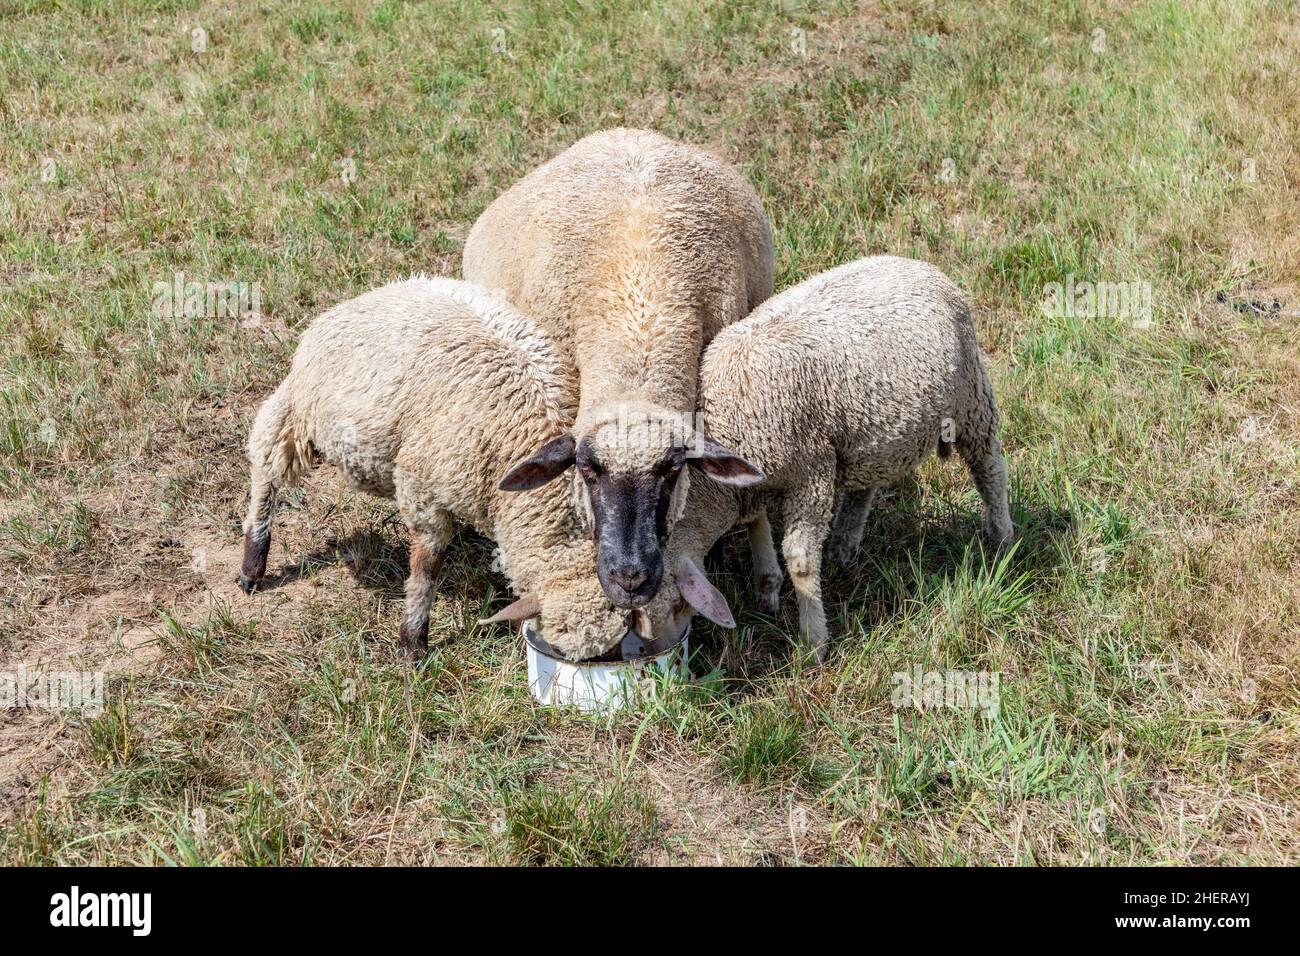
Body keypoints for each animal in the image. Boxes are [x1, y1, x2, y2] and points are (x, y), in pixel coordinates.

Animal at [243, 278, 634, 665]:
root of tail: (371, 294)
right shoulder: (422, 491)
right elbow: (426, 569)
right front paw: (412, 644)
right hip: (295, 408)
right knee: (265, 466)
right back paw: (252, 564)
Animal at [639, 254, 1013, 660]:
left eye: (673, 604)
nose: (654, 654)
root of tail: (917, 264)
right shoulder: (757, 478)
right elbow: (757, 524)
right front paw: (770, 592)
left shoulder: (811, 470)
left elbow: (800, 559)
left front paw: (814, 642)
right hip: (868, 431)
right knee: (865, 486)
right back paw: (843, 549)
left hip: (971, 397)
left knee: (989, 467)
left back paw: (1002, 539)